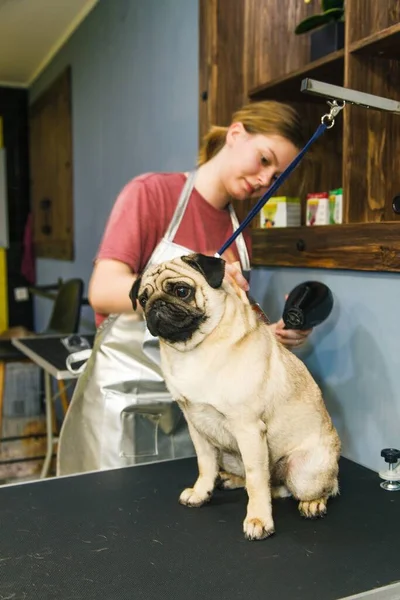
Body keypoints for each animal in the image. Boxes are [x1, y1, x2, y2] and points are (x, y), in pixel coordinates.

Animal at [130, 251, 340, 540]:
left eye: (182, 291)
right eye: (142, 300)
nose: (156, 304)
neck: (193, 350)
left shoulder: (248, 428)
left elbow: (256, 479)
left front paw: (259, 519)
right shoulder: (197, 427)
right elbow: (205, 465)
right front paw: (201, 492)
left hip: (304, 471)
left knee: (315, 487)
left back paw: (312, 503)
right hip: (230, 454)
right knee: (269, 484)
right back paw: (230, 480)